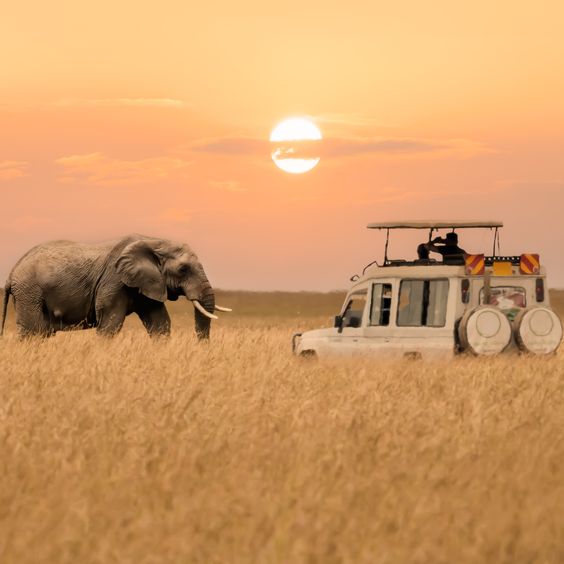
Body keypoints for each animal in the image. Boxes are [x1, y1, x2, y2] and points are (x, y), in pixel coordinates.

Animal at [0, 232, 230, 338]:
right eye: (183, 269)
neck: (154, 241)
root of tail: (12, 272)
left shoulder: (148, 283)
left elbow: (160, 324)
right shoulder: (114, 281)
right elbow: (110, 323)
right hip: (30, 291)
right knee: (33, 331)